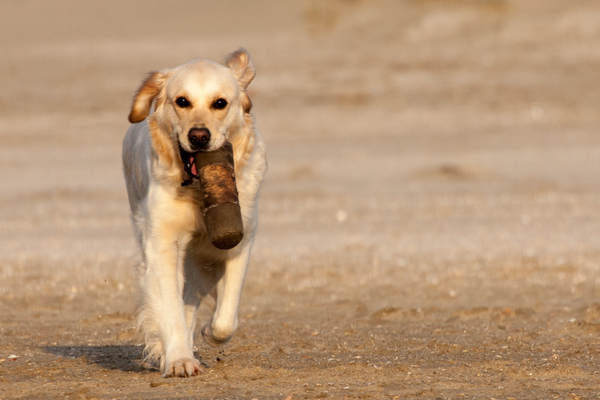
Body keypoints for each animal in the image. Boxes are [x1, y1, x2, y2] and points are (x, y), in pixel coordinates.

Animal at [122, 48, 268, 376]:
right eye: (182, 101)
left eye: (220, 103)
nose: (199, 136)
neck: (198, 191)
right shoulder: (161, 243)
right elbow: (169, 307)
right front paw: (178, 359)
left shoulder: (238, 241)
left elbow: (226, 320)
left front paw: (207, 333)